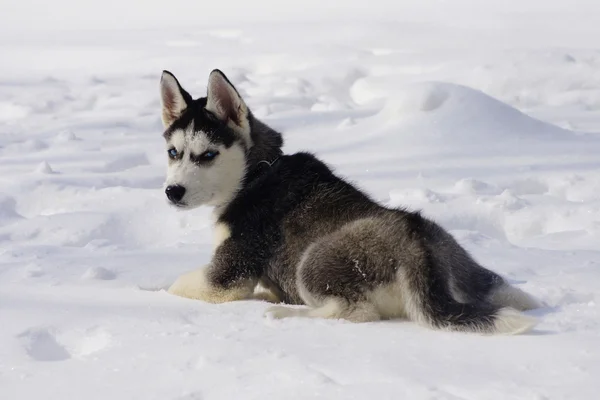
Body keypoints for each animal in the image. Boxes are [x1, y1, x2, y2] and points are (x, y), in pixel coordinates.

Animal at [158, 69, 540, 334]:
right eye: (173, 153)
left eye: (208, 154)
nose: (172, 192)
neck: (256, 173)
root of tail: (418, 246)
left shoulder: (227, 277)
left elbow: (176, 284)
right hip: (471, 267)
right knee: (513, 293)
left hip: (314, 260)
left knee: (357, 312)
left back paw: (287, 313)